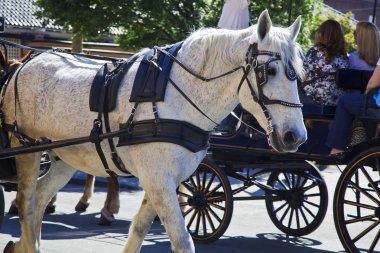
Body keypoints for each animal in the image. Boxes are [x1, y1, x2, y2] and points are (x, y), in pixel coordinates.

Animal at [0, 10, 306, 253]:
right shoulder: (158, 179)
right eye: (269, 71)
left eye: (299, 76)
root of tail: (24, 64)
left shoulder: (160, 179)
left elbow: (138, 230)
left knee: (40, 197)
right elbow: (181, 239)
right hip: (25, 148)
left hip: (66, 156)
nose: (296, 137)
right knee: (26, 201)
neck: (176, 94)